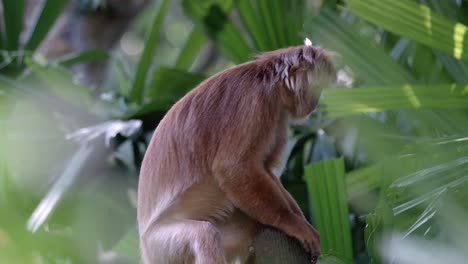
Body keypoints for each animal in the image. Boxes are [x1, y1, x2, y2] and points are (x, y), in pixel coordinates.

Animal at [137, 42, 338, 262]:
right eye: (317, 88)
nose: (315, 103)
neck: (268, 81)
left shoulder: (278, 114)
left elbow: (266, 170)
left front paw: (301, 221)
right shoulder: (255, 103)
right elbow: (233, 168)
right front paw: (294, 224)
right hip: (161, 246)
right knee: (204, 234)